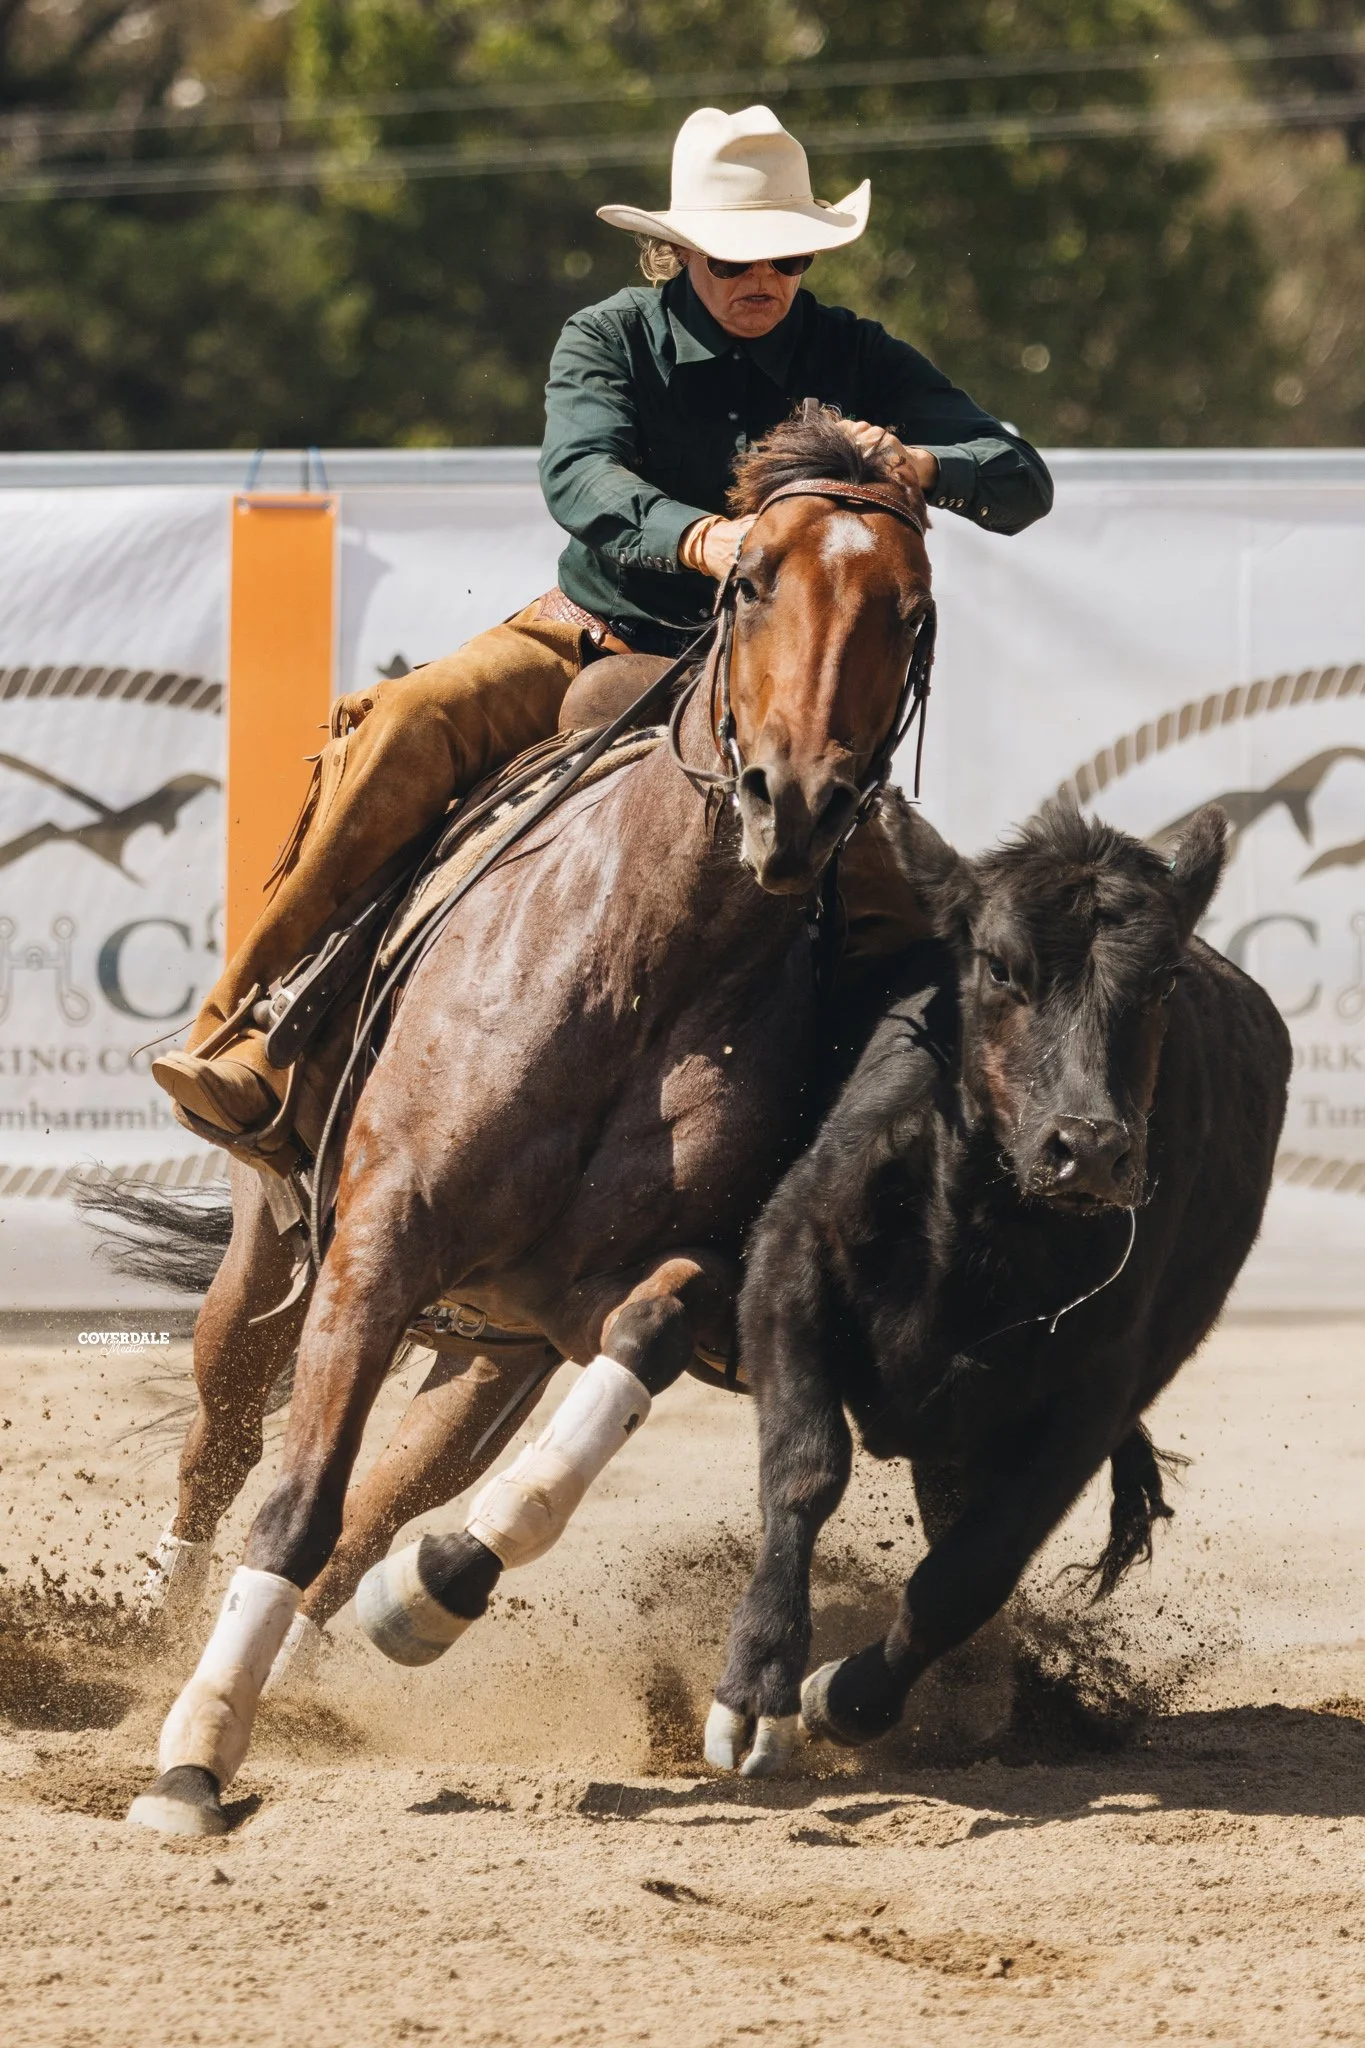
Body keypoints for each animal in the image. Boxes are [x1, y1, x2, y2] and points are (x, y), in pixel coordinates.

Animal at [123, 410, 939, 1837]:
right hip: (278, 1248)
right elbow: (293, 1499)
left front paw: (435, 1589)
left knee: (390, 1494)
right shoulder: (378, 1242)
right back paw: (165, 1643)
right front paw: (192, 1759)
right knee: (222, 1433)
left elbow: (643, 1333)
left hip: (486, 1352)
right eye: (750, 580)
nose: (794, 802)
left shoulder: (604, 1287)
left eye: (907, 609)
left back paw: (348, 1632)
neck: (641, 957)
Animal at [705, 797, 1290, 1778]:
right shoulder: (788, 1265)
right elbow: (803, 1470)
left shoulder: (1095, 1391)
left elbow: (971, 1571)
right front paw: (755, 1688)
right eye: (998, 964)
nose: (1088, 1149)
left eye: (1162, 981)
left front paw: (846, 1698)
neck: (984, 1237)